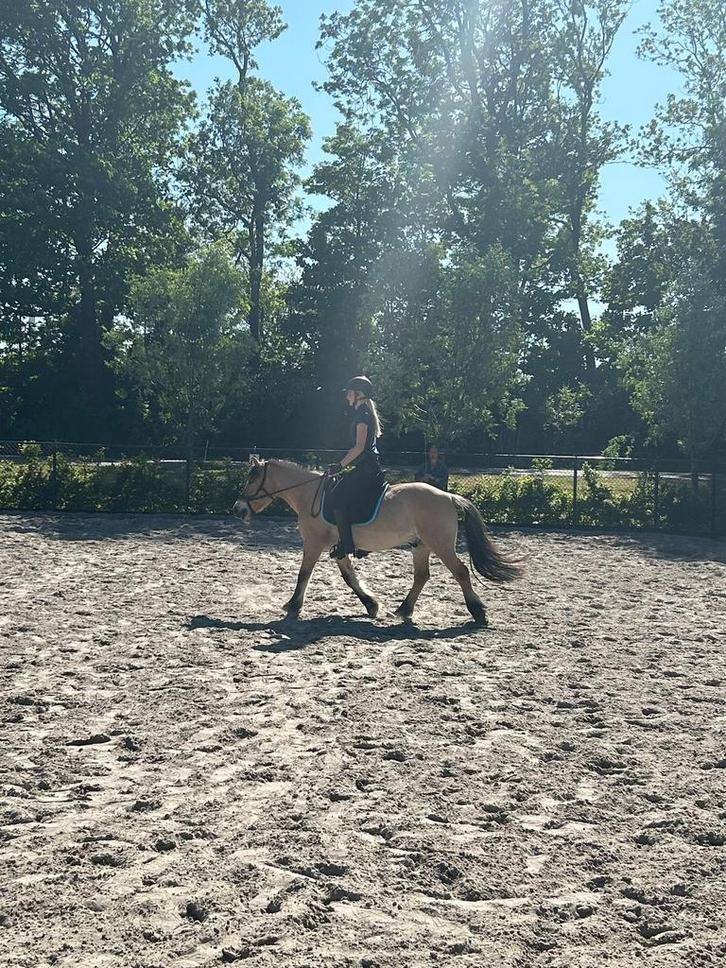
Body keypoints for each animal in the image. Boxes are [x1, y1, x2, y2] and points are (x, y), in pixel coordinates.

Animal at [232, 457, 522, 626]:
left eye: (251, 479)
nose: (238, 509)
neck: (309, 495)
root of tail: (449, 496)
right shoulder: (339, 548)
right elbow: (349, 577)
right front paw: (371, 605)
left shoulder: (314, 543)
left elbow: (304, 574)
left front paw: (293, 605)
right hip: (421, 546)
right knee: (422, 576)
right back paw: (404, 609)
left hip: (439, 544)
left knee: (460, 571)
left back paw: (478, 612)